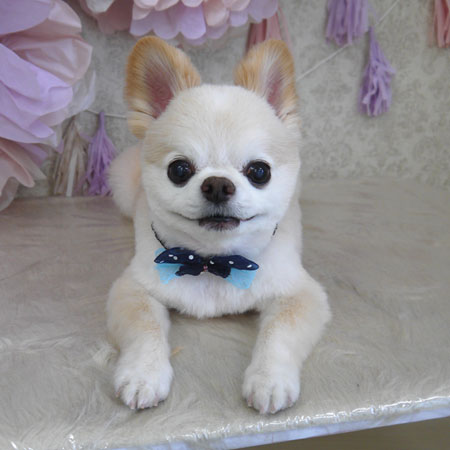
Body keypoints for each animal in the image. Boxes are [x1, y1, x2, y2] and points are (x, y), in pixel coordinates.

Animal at [108, 36, 331, 414]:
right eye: (179, 170)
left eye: (259, 171)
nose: (217, 185)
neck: (213, 262)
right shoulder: (133, 289)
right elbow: (145, 326)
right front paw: (142, 374)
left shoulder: (300, 294)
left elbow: (279, 332)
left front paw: (269, 379)